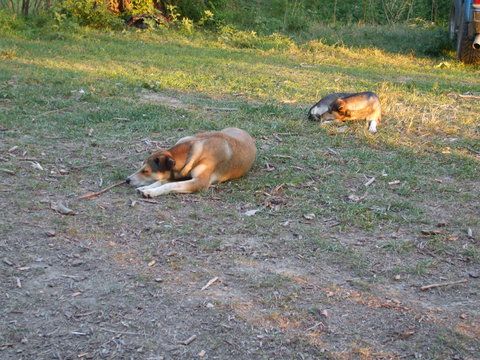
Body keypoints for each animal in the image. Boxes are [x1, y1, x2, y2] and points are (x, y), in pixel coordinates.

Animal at [125, 128, 256, 198]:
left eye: (146, 171)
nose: (127, 180)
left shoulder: (200, 182)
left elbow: (169, 185)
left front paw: (150, 191)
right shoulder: (179, 175)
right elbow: (161, 181)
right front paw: (146, 188)